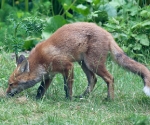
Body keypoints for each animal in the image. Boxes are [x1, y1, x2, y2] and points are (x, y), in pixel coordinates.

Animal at [6, 21, 150, 99]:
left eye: (11, 84)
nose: (6, 94)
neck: (40, 61)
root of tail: (107, 33)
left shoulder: (68, 66)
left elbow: (67, 86)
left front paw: (68, 99)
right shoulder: (49, 74)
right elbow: (40, 89)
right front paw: (37, 99)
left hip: (93, 64)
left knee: (110, 78)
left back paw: (109, 99)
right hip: (84, 64)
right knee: (93, 79)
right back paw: (83, 96)